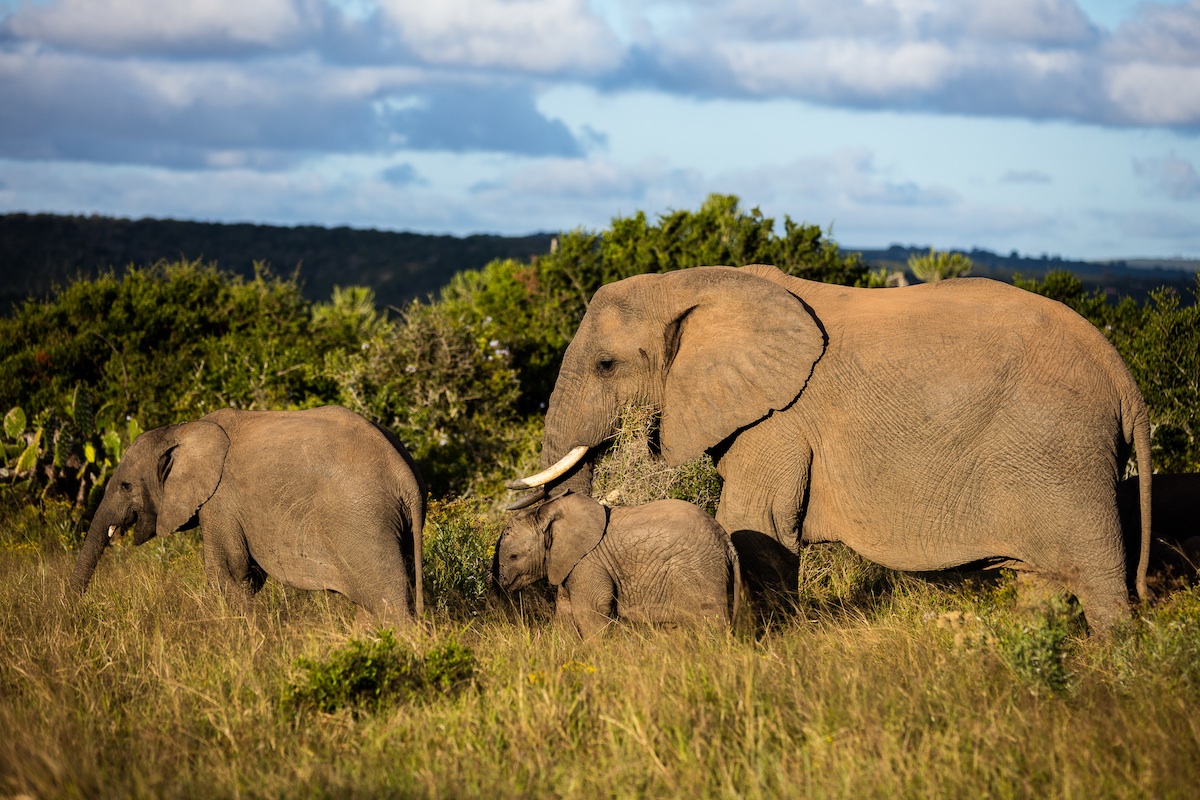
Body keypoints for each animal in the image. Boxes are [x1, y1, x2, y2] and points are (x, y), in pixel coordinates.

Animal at [492, 491, 734, 642]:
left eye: (514, 556)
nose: (501, 586)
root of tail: (723, 536)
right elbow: (565, 611)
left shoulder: (588, 563)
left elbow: (590, 611)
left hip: (699, 568)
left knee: (710, 620)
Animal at [504, 266, 1152, 633]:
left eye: (606, 365)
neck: (689, 282)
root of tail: (1124, 379)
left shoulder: (782, 420)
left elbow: (754, 522)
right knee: (1040, 581)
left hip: (1062, 451)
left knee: (1100, 584)